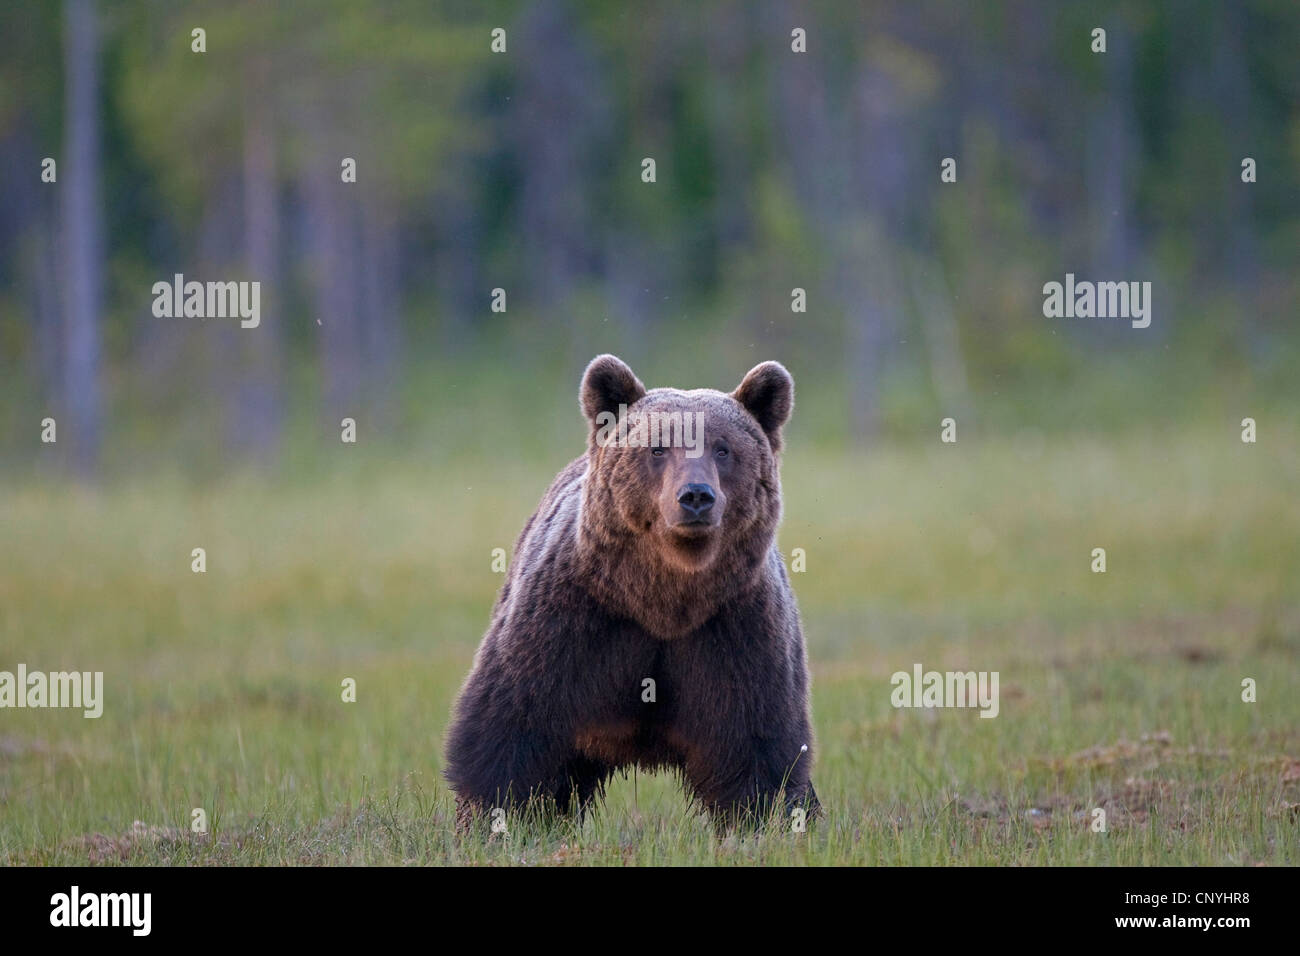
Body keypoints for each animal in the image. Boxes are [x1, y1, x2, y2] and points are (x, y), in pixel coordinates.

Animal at [444, 354, 819, 829]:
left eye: (723, 449)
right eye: (658, 448)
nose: (696, 496)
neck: (661, 599)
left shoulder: (736, 628)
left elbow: (757, 742)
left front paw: (763, 818)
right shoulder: (575, 620)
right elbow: (513, 722)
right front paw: (498, 816)